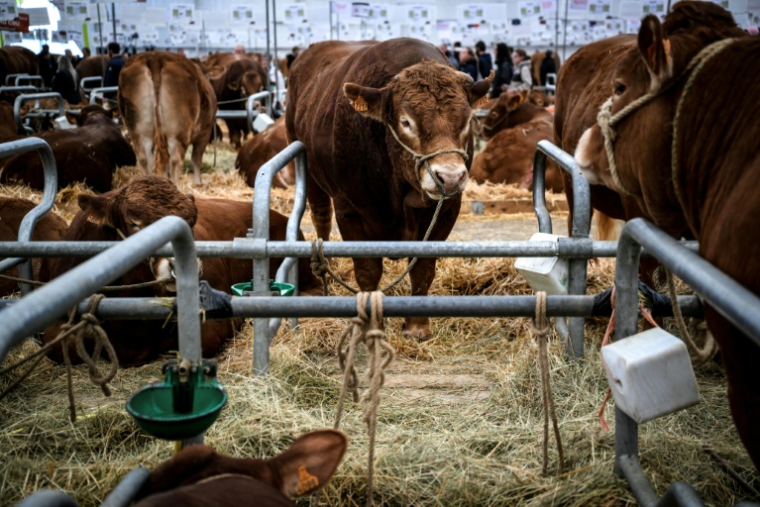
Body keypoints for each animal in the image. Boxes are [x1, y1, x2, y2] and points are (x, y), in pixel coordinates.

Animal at [118, 52, 217, 185]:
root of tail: (155, 57)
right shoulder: (205, 132)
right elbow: (196, 159)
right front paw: (198, 182)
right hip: (178, 132)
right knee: (175, 161)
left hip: (139, 130)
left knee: (145, 159)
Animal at [286, 39, 492, 340]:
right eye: (406, 122)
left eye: (466, 120)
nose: (450, 177)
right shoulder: (350, 211)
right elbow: (368, 271)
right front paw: (371, 326)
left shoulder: (446, 210)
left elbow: (422, 268)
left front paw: (417, 326)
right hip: (311, 175)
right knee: (320, 218)